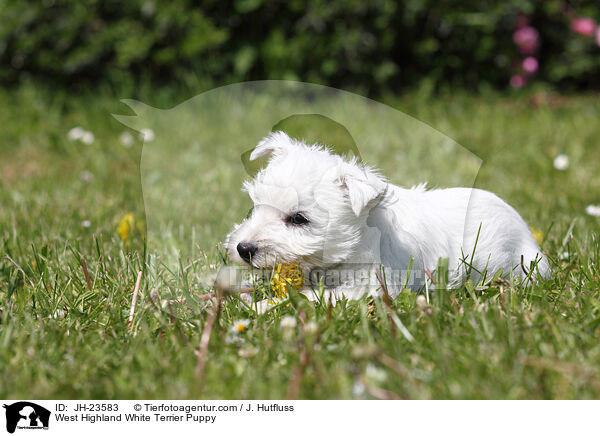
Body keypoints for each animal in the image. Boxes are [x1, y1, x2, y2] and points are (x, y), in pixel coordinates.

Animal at [227, 131, 552, 302]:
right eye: (256, 206)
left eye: (298, 219)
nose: (243, 249)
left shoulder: (369, 287)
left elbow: (310, 298)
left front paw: (260, 307)